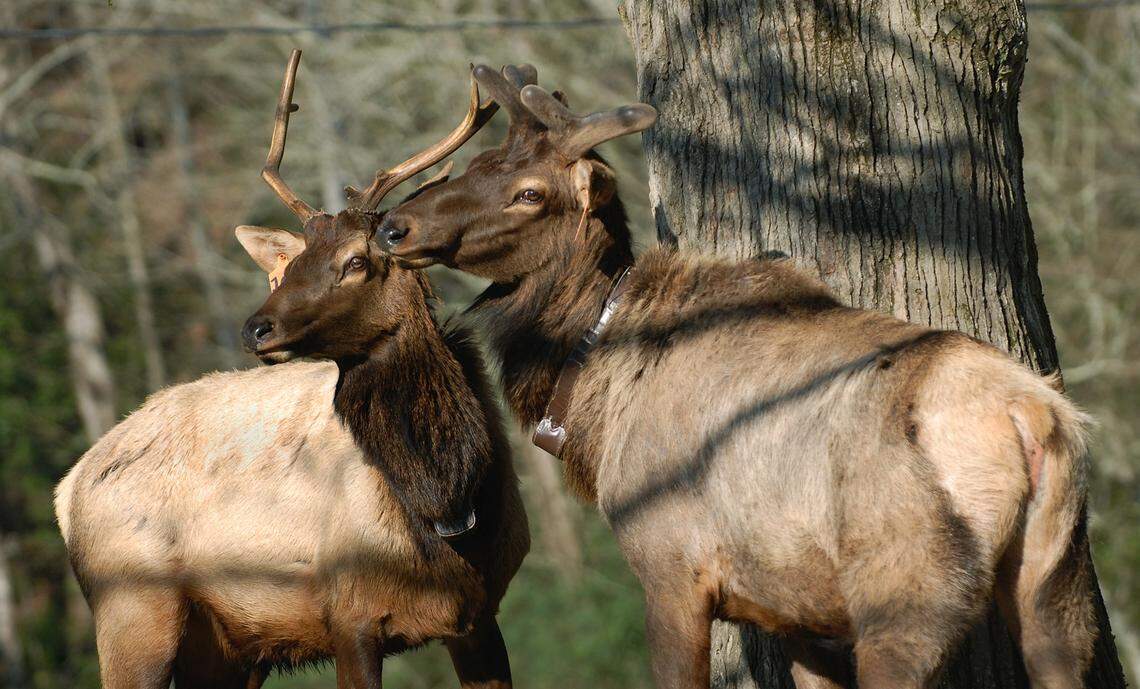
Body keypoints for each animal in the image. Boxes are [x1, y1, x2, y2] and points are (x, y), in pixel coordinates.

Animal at [53, 50, 529, 689]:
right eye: (291, 265)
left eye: (357, 261)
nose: (256, 327)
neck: (444, 506)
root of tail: (66, 491)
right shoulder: (348, 615)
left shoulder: (478, 617)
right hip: (131, 610)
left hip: (223, 649)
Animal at [376, 65, 1097, 689]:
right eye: (476, 165)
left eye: (530, 193)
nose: (393, 225)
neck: (588, 400)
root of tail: (1029, 416)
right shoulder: (794, 608)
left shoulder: (671, 567)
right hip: (1056, 581)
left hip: (907, 591)